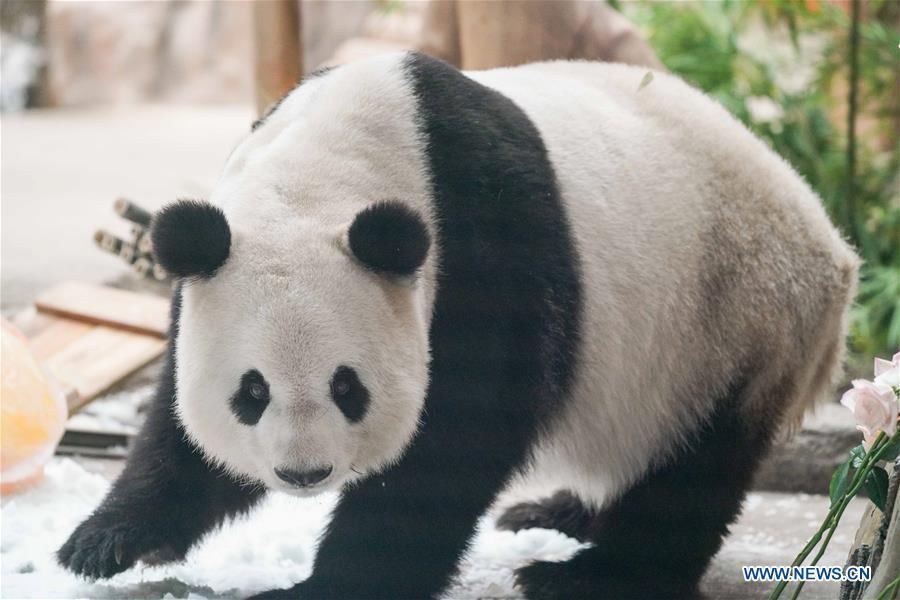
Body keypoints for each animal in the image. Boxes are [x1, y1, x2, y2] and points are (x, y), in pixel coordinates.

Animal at [59, 54, 860, 596]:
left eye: (348, 388)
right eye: (250, 392)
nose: (303, 473)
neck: (327, 169)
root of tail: (833, 246)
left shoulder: (486, 242)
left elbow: (459, 437)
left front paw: (331, 585)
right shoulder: (212, 263)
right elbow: (178, 427)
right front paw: (104, 542)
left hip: (735, 320)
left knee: (693, 469)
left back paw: (583, 574)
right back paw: (555, 511)